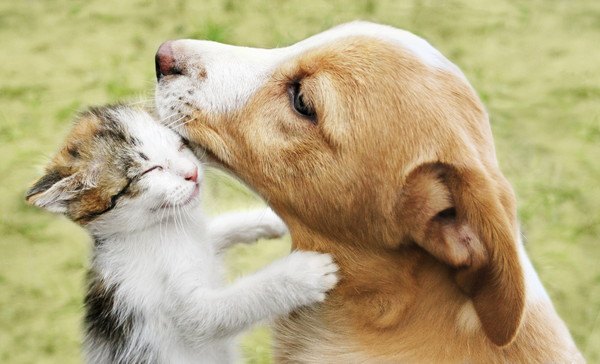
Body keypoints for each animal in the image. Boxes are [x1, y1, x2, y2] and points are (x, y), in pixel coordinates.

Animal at [27, 104, 338, 362]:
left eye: (179, 144)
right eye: (150, 170)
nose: (192, 173)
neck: (159, 230)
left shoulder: (198, 234)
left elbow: (216, 230)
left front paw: (270, 222)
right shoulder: (187, 311)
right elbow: (221, 310)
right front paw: (304, 273)